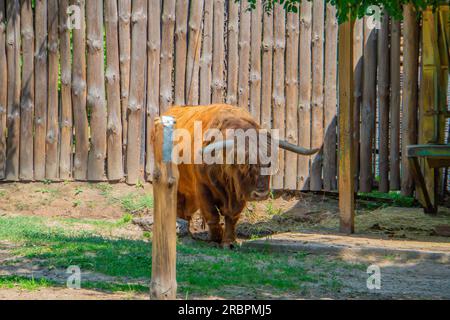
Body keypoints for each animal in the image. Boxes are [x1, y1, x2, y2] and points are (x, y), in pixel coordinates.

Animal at [156, 104, 316, 246]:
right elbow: (212, 215)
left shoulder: (239, 194)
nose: (261, 194)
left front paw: (228, 241)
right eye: (242, 164)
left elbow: (232, 216)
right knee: (178, 208)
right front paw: (216, 238)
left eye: (270, 163)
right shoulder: (202, 188)